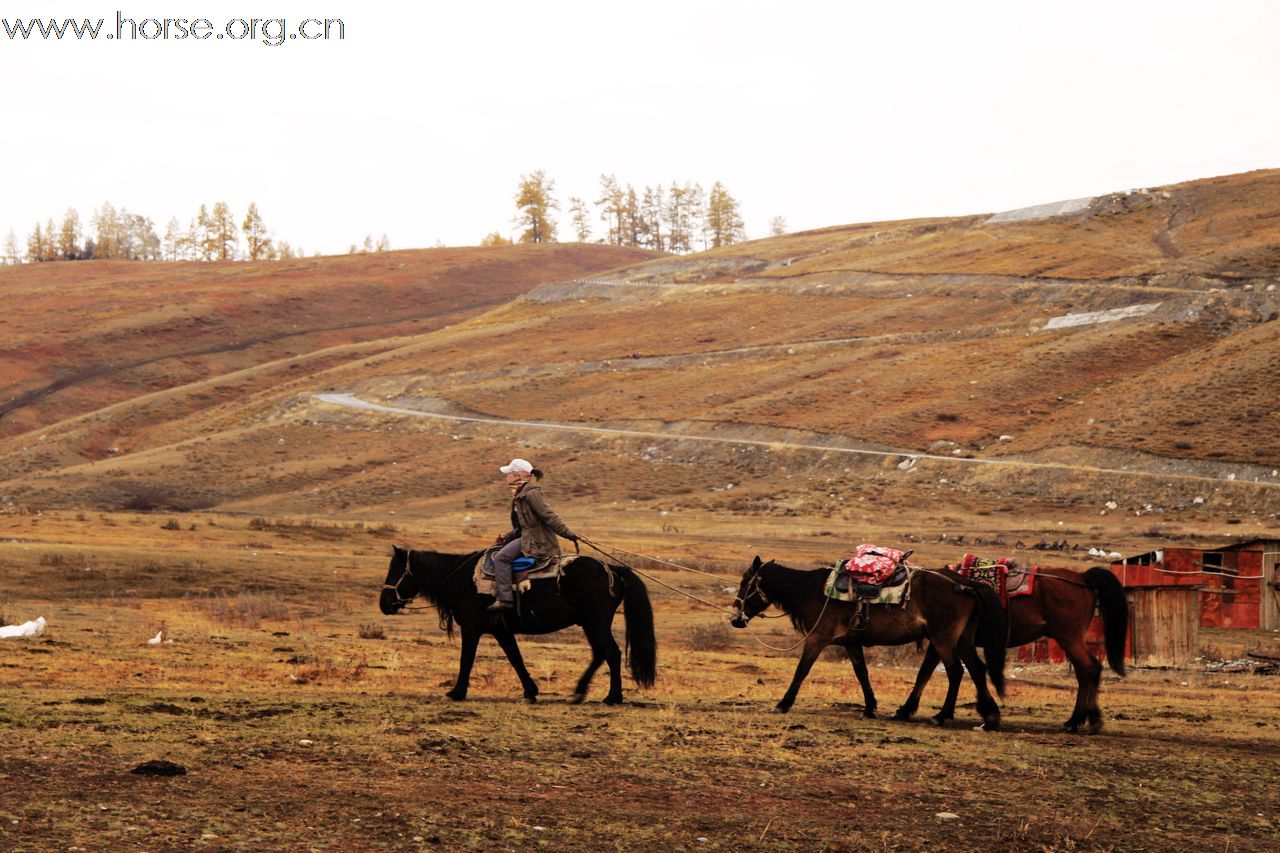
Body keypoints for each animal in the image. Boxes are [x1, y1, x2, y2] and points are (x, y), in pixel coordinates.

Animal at [376, 548, 660, 701]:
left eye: (395, 570)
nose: (384, 603)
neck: (462, 580)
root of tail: (612, 569)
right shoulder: (501, 630)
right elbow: (515, 658)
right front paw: (530, 691)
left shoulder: (471, 627)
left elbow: (466, 659)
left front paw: (457, 692)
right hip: (589, 624)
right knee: (600, 654)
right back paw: (579, 692)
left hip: (597, 622)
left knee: (611, 653)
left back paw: (613, 697)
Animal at [732, 555, 1008, 727]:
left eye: (746, 583)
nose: (736, 619)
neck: (812, 592)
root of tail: (964, 584)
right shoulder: (851, 643)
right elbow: (862, 673)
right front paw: (869, 708)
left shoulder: (817, 639)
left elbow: (801, 671)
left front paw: (782, 704)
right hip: (961, 639)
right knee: (976, 669)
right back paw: (989, 717)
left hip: (944, 639)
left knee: (955, 671)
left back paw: (942, 716)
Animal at [896, 563, 1126, 732]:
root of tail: (1082, 579)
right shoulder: (941, 639)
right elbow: (926, 672)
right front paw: (907, 709)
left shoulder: (942, 637)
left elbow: (928, 672)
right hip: (1070, 640)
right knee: (1086, 671)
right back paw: (1086, 719)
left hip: (1069, 637)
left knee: (1089, 668)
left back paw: (1080, 720)